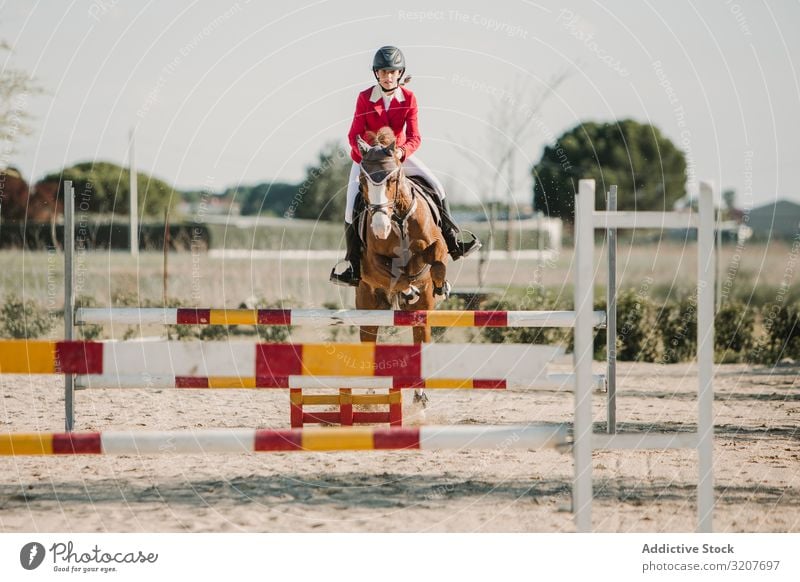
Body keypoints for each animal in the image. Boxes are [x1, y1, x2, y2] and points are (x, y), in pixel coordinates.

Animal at [354, 126, 450, 410]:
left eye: (393, 179)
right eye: (362, 182)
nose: (379, 229)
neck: (397, 218)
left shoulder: (437, 245)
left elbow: (436, 258)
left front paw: (441, 284)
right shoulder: (372, 263)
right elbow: (395, 276)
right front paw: (407, 290)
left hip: (424, 310)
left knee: (420, 335)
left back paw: (420, 395)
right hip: (366, 301)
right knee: (369, 337)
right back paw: (370, 394)